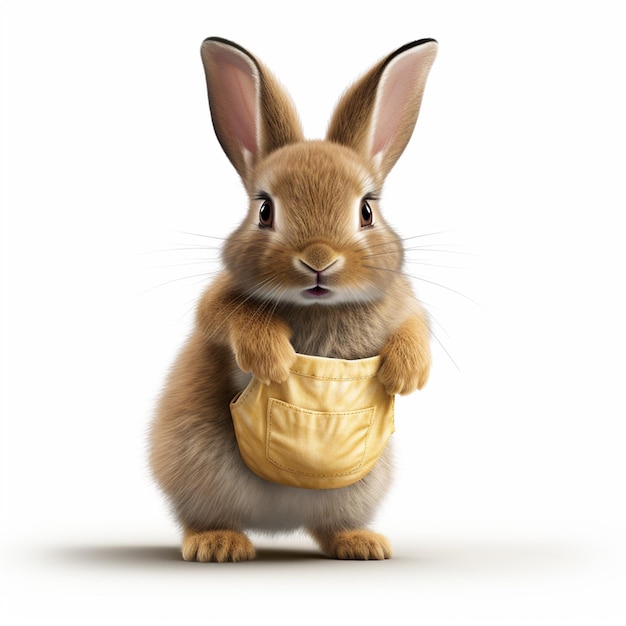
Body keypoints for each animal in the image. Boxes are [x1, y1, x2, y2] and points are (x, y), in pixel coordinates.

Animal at [149, 35, 436, 560]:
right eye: (265, 210)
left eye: (367, 211)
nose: (319, 259)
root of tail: (277, 523)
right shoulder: (217, 305)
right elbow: (231, 316)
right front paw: (274, 359)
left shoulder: (403, 302)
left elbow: (413, 326)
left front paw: (406, 374)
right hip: (196, 462)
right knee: (202, 517)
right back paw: (219, 544)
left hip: (357, 485)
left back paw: (362, 544)